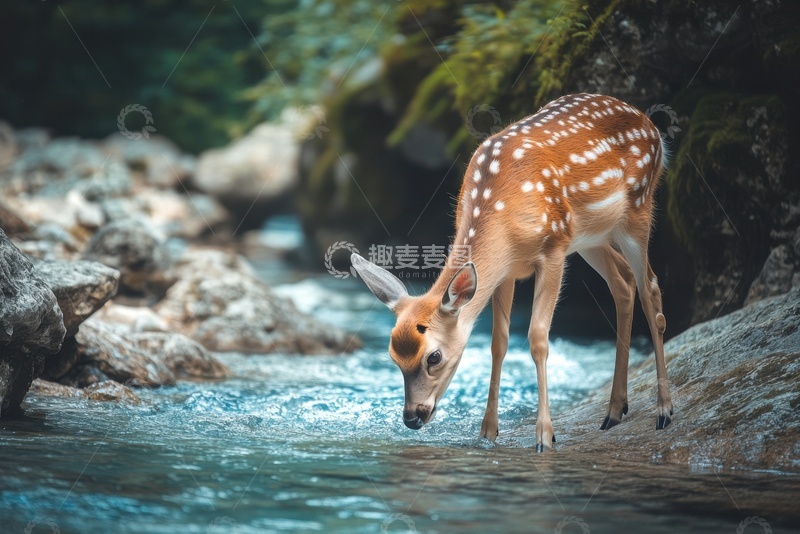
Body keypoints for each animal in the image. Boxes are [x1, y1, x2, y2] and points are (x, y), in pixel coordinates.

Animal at [350, 93, 672, 452]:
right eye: (393, 357)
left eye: (433, 357)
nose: (411, 417)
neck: (503, 214)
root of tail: (651, 126)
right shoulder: (505, 271)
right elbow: (499, 342)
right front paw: (488, 432)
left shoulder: (553, 249)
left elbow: (538, 338)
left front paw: (545, 436)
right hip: (592, 236)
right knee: (623, 283)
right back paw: (615, 411)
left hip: (637, 209)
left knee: (650, 288)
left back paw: (663, 411)